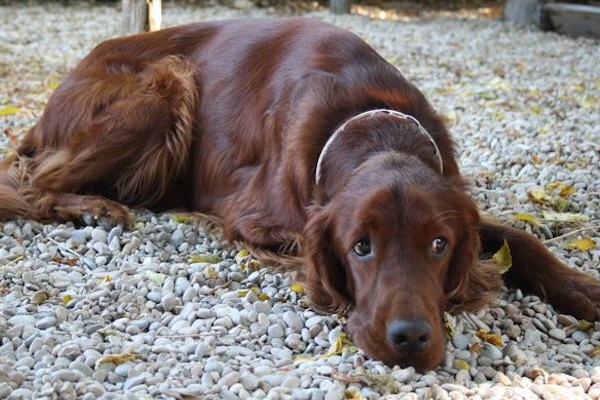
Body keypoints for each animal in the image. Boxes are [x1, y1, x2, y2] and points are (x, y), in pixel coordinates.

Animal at [1, 17, 600, 370]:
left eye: (439, 245)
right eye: (361, 247)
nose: (409, 339)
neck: (369, 122)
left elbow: (519, 238)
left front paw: (580, 287)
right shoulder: (260, 219)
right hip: (168, 82)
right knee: (36, 179)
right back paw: (94, 207)